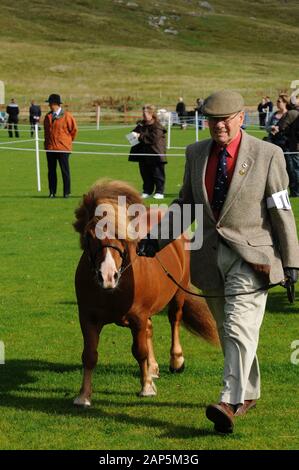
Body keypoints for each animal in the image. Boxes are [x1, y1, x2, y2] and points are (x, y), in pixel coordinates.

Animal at [72, 178, 218, 406]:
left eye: (121, 236)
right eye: (89, 235)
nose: (108, 276)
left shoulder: (137, 317)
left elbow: (139, 351)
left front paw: (147, 387)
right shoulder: (88, 318)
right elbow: (89, 355)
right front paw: (84, 395)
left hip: (178, 293)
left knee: (174, 320)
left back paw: (176, 360)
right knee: (150, 330)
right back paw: (153, 367)